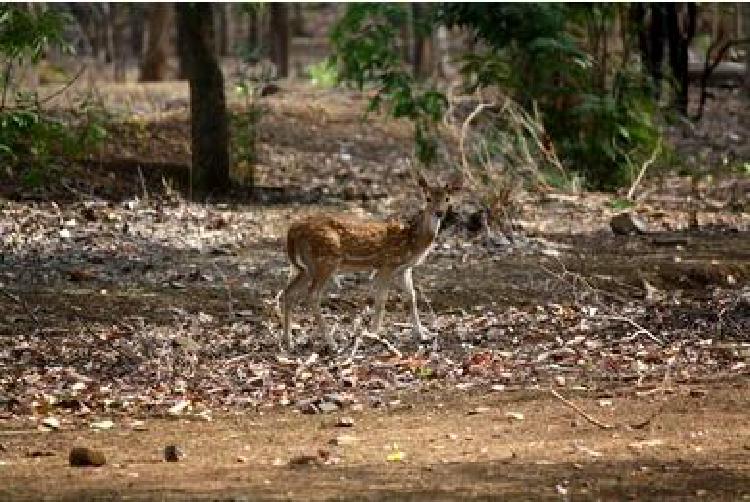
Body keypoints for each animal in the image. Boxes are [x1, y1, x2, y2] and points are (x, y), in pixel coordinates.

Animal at [284, 172, 464, 350]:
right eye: (428, 198)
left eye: (447, 198)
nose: (439, 212)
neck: (413, 242)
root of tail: (292, 231)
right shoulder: (387, 264)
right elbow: (382, 299)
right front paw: (374, 334)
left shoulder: (404, 269)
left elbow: (411, 297)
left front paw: (422, 335)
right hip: (325, 260)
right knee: (312, 295)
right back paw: (331, 342)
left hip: (307, 266)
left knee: (289, 292)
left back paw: (288, 341)